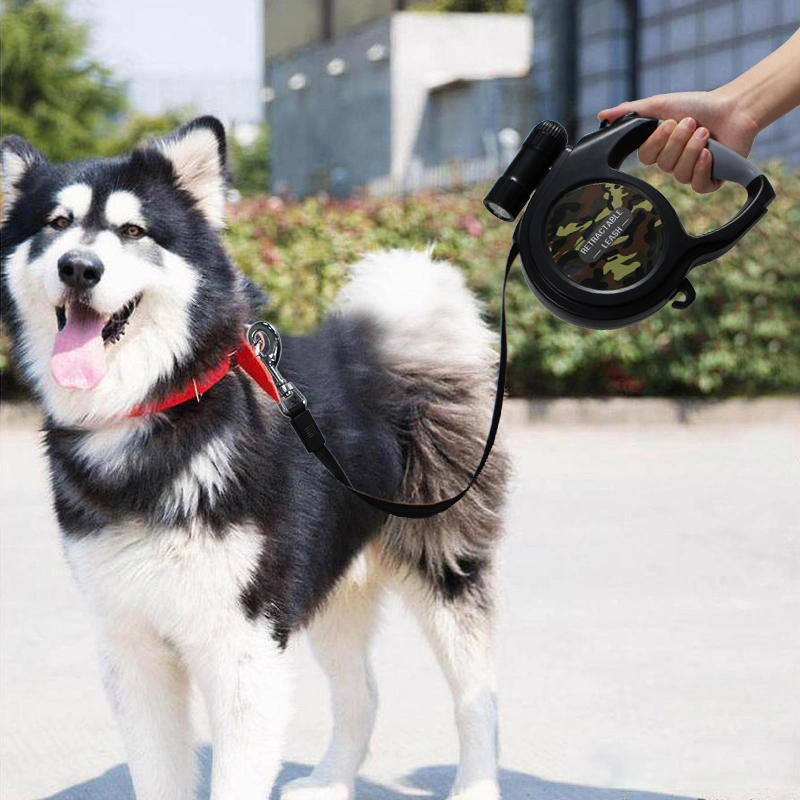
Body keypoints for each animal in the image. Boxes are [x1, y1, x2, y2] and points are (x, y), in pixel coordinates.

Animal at [0, 115, 510, 800]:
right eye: (56, 223)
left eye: (133, 231)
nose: (78, 267)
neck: (157, 412)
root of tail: (378, 346)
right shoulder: (132, 645)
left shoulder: (242, 644)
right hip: (330, 578)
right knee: (363, 694)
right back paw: (328, 783)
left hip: (442, 563)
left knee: (477, 696)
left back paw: (475, 784)